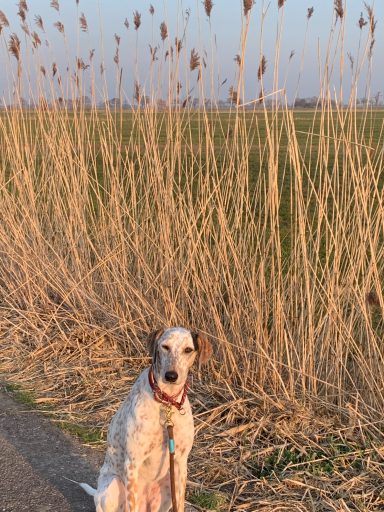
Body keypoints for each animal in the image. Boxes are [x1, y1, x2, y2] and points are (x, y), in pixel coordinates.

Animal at [80, 328, 213, 512]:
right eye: (165, 347)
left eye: (188, 350)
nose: (171, 375)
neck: (166, 402)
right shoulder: (132, 464)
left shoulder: (180, 463)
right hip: (113, 485)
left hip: (166, 488)